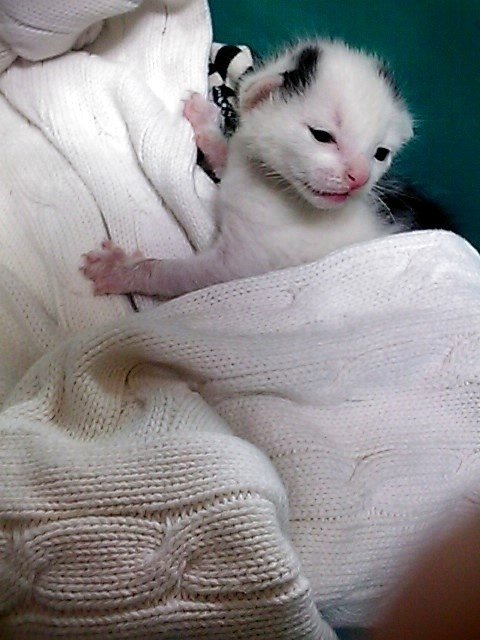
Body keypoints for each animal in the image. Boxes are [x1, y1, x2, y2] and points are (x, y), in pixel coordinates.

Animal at [82, 39, 415, 298]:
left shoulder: (242, 266)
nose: (359, 178)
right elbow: (227, 155)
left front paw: (121, 270)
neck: (272, 185)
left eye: (380, 153)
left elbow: (180, 274)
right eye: (322, 135)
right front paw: (206, 122)